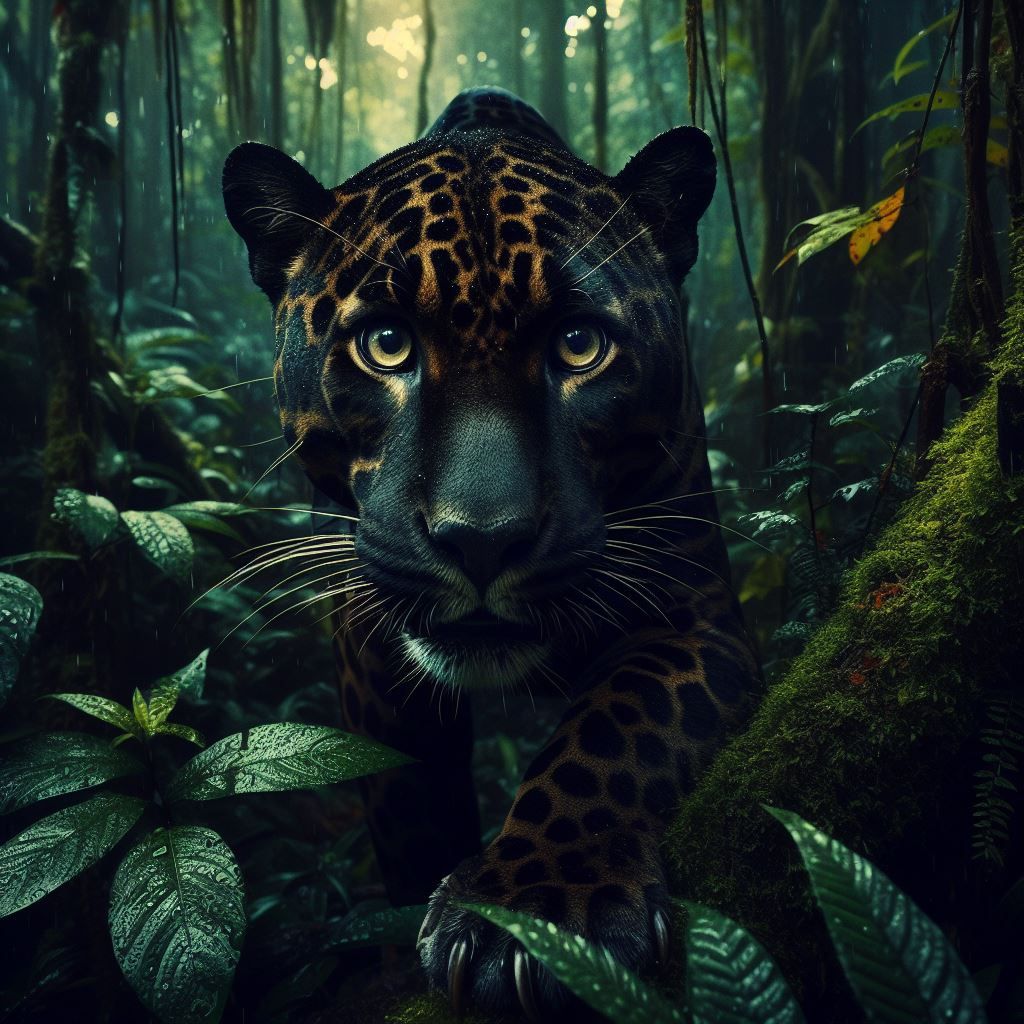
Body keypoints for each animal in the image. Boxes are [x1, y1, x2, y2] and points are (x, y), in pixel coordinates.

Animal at [223, 86, 760, 1019]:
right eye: (386, 345)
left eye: (580, 346)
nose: (482, 537)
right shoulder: (373, 663)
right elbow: (413, 815)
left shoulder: (695, 615)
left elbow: (618, 724)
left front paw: (541, 908)